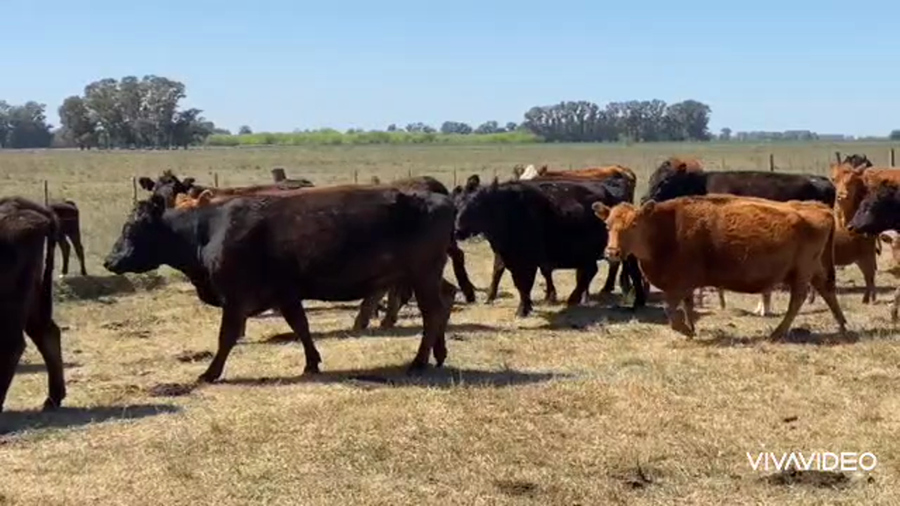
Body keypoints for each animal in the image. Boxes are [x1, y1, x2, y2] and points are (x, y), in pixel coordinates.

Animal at [103, 185, 457, 381]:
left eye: (131, 229)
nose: (109, 260)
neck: (209, 229)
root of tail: (440, 198)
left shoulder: (236, 298)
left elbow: (226, 337)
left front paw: (210, 373)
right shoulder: (285, 294)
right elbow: (301, 326)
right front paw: (312, 363)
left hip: (422, 275)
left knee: (433, 313)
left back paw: (419, 360)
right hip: (428, 275)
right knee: (445, 300)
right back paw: (438, 354)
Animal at [454, 178, 647, 318]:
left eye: (477, 204)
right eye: (457, 204)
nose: (457, 230)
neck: (510, 211)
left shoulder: (528, 262)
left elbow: (525, 284)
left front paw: (522, 310)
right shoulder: (510, 259)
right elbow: (516, 282)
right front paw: (527, 306)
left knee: (632, 271)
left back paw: (638, 301)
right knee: (590, 271)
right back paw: (575, 298)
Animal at [593, 195, 847, 340]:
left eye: (634, 224)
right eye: (607, 225)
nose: (612, 253)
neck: (666, 227)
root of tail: (821, 209)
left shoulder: (677, 286)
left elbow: (671, 312)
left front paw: (686, 330)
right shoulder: (686, 285)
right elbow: (688, 306)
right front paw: (692, 328)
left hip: (802, 272)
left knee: (798, 299)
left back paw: (777, 333)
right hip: (813, 269)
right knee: (826, 289)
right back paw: (842, 325)